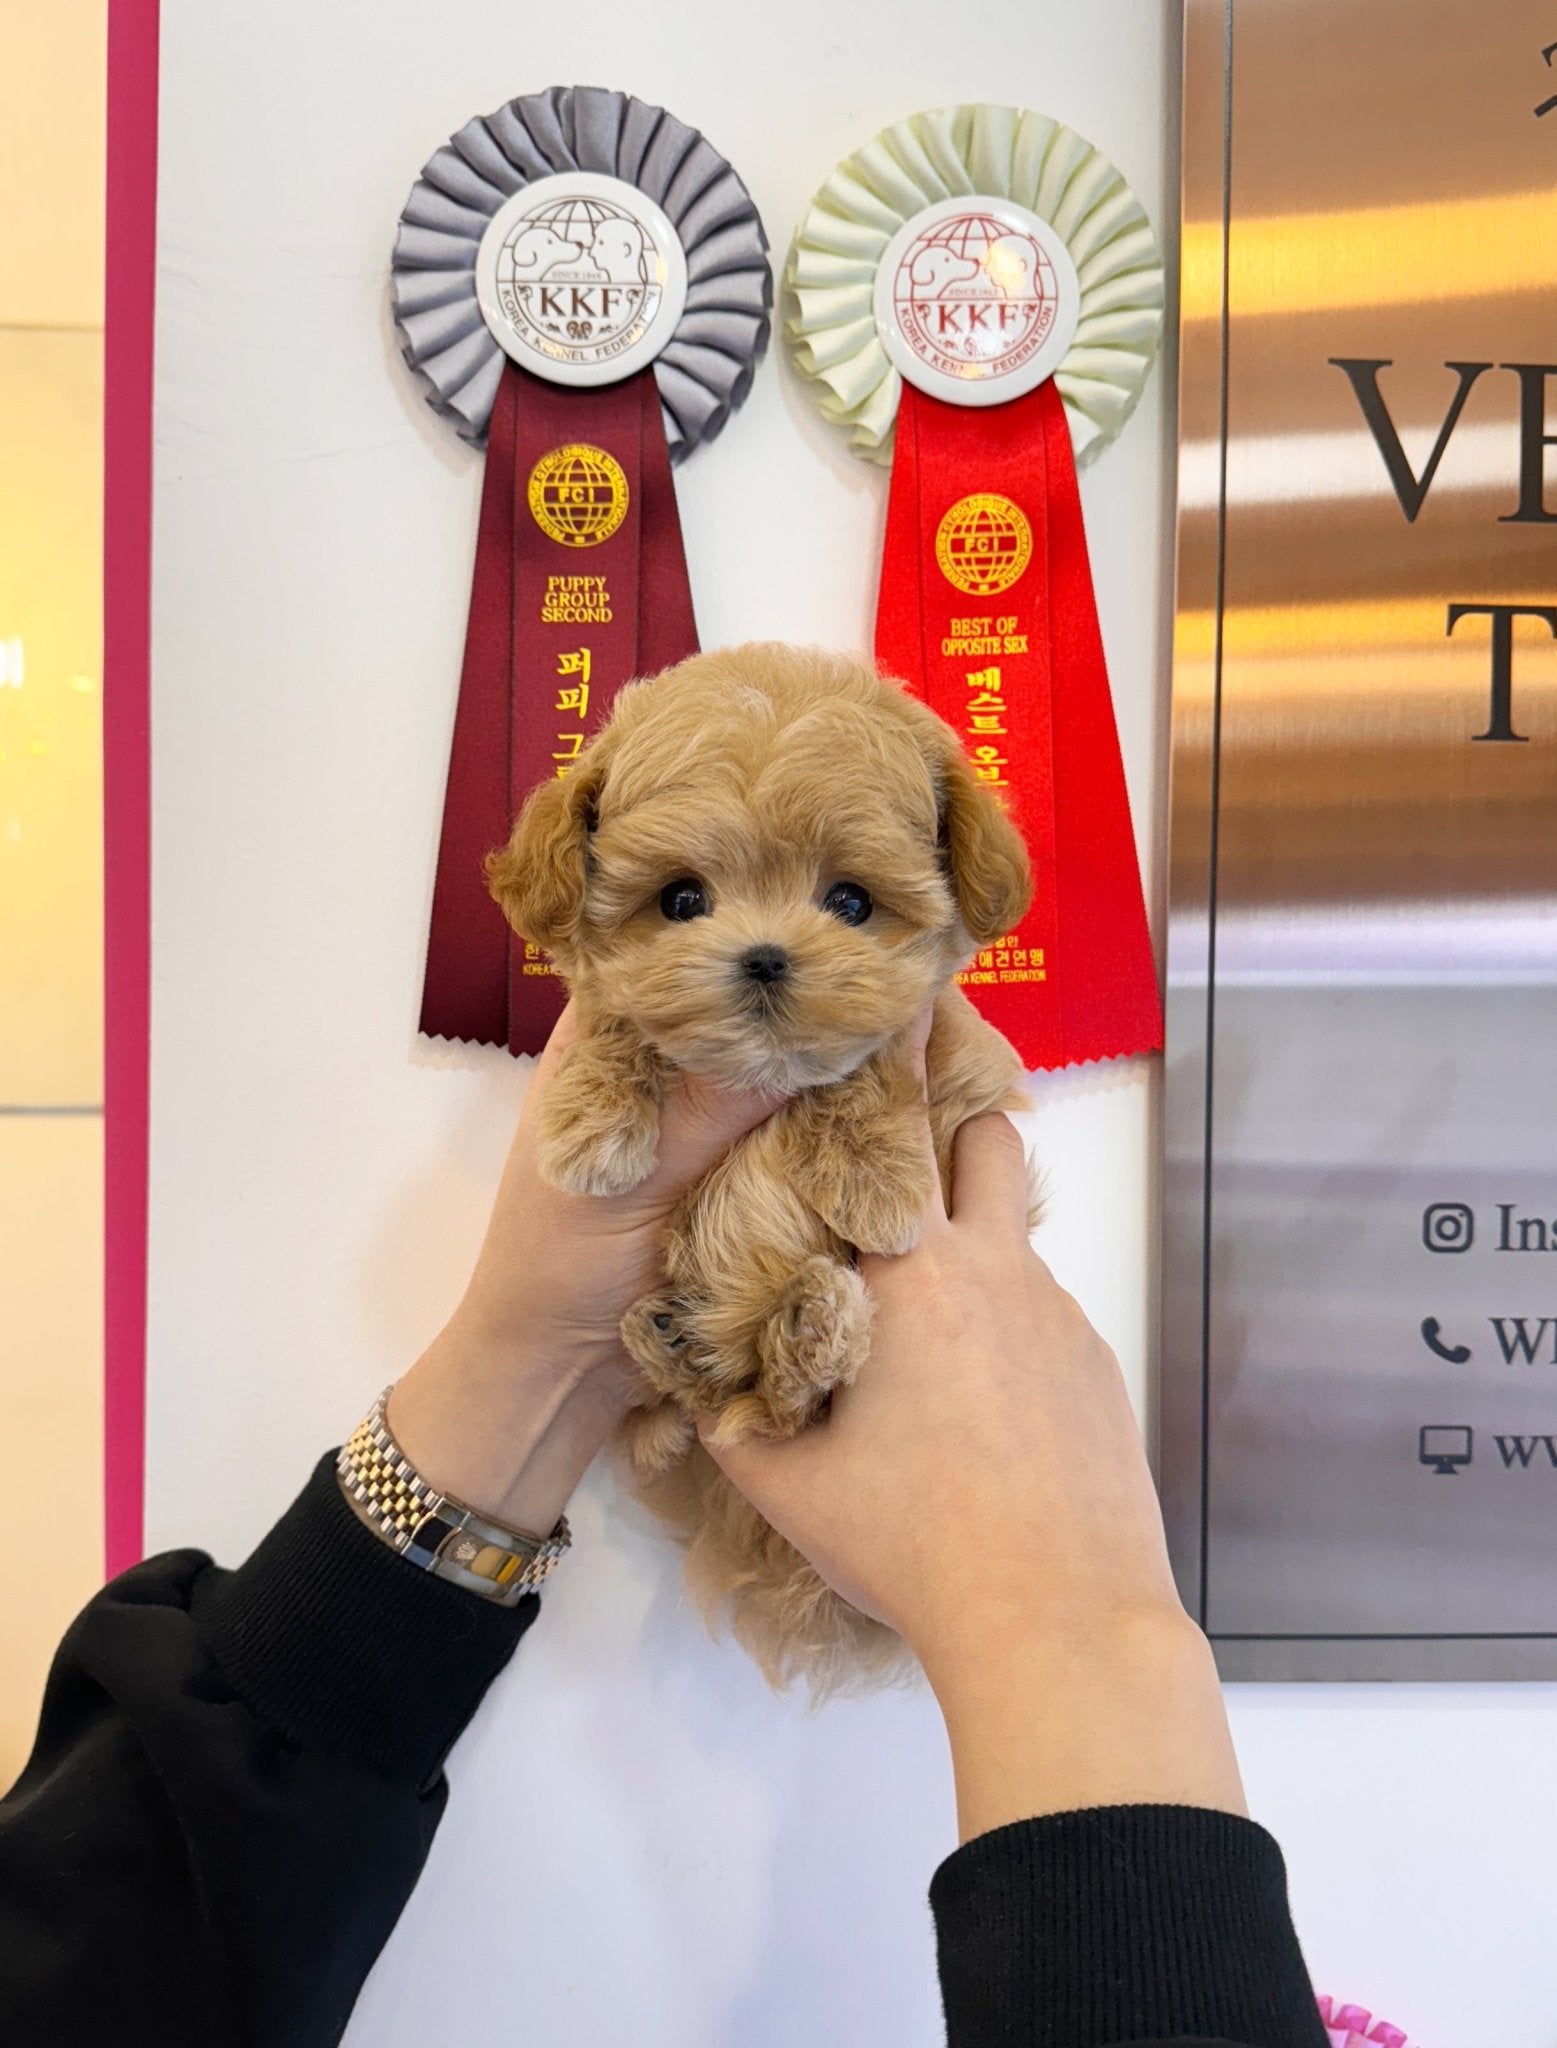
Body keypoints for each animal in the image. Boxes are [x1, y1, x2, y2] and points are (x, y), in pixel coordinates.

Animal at [483, 643, 1020, 1695]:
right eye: (681, 900)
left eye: (850, 902)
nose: (765, 958)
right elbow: (615, 1015)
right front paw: (589, 1127)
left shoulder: (952, 1072)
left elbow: (866, 1072)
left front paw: (880, 1182)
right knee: (717, 1409)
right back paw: (669, 1364)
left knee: (778, 1408)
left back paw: (808, 1325)